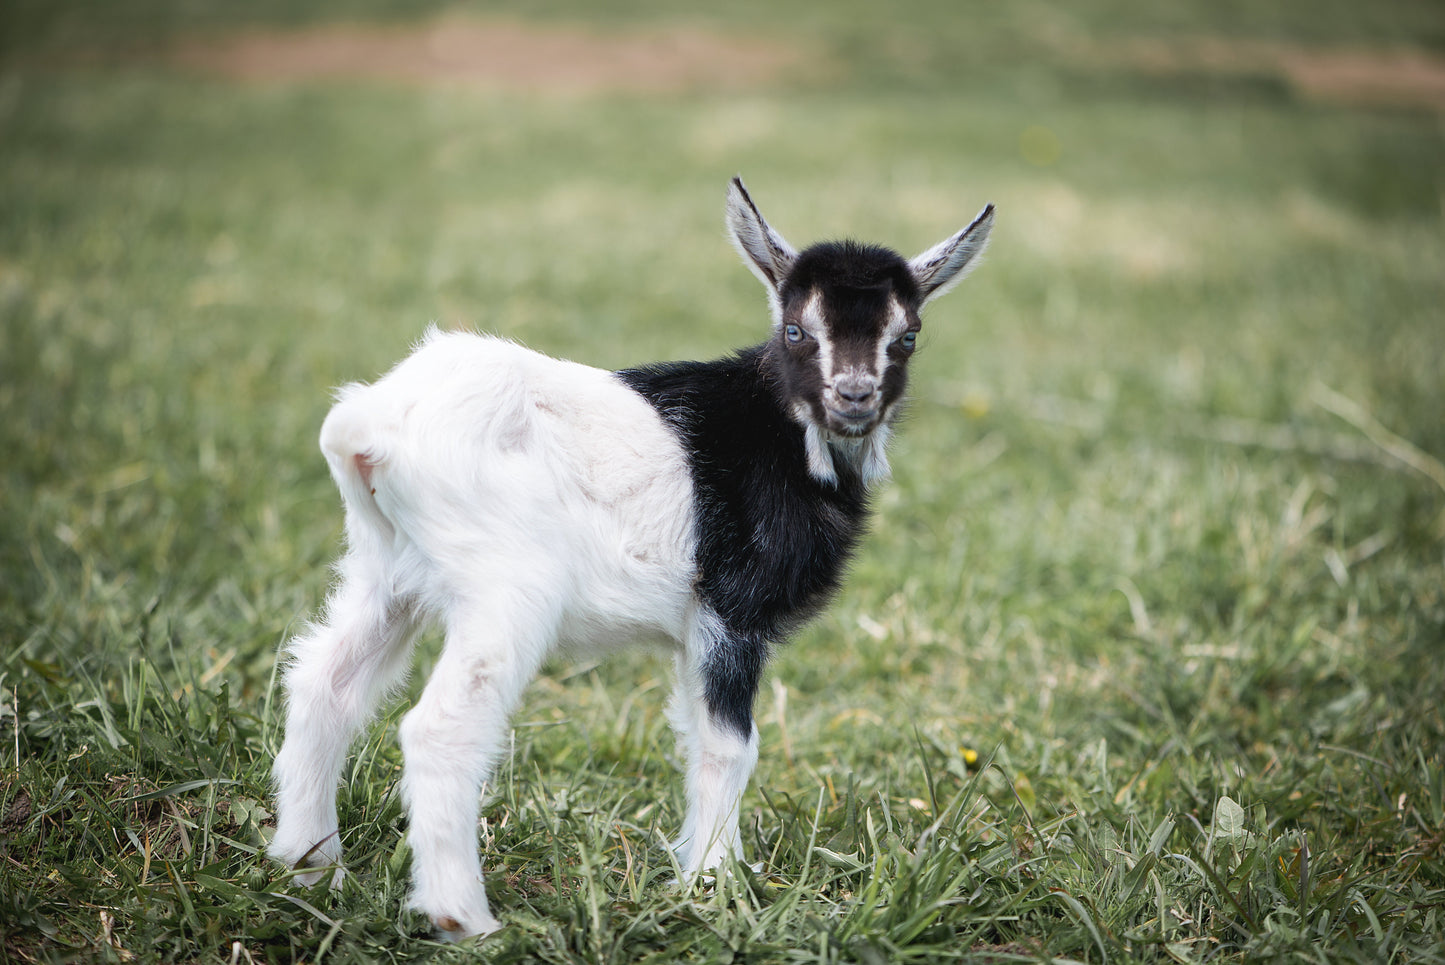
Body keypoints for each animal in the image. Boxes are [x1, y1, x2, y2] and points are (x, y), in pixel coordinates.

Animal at [269, 177, 994, 940]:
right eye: (797, 330)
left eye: (906, 335)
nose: (854, 396)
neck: (781, 431)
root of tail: (368, 425)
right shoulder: (729, 613)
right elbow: (728, 744)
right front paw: (717, 885)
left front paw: (702, 873)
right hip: (506, 587)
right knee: (440, 727)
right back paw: (464, 918)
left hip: (388, 572)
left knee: (324, 686)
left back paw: (310, 869)